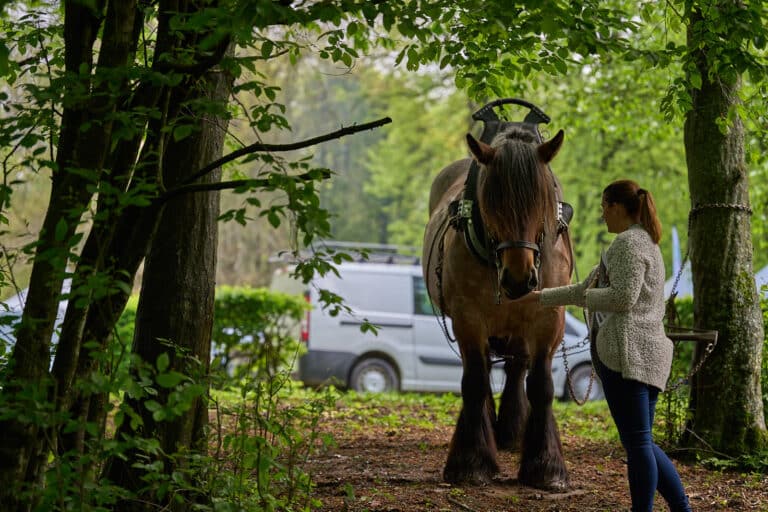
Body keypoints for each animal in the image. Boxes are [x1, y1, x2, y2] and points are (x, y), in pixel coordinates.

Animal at [424, 126, 572, 490]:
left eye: (541, 201)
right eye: (490, 204)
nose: (519, 277)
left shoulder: (548, 319)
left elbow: (542, 385)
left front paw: (545, 465)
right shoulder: (468, 318)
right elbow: (475, 381)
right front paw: (471, 461)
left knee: (518, 366)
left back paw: (512, 431)